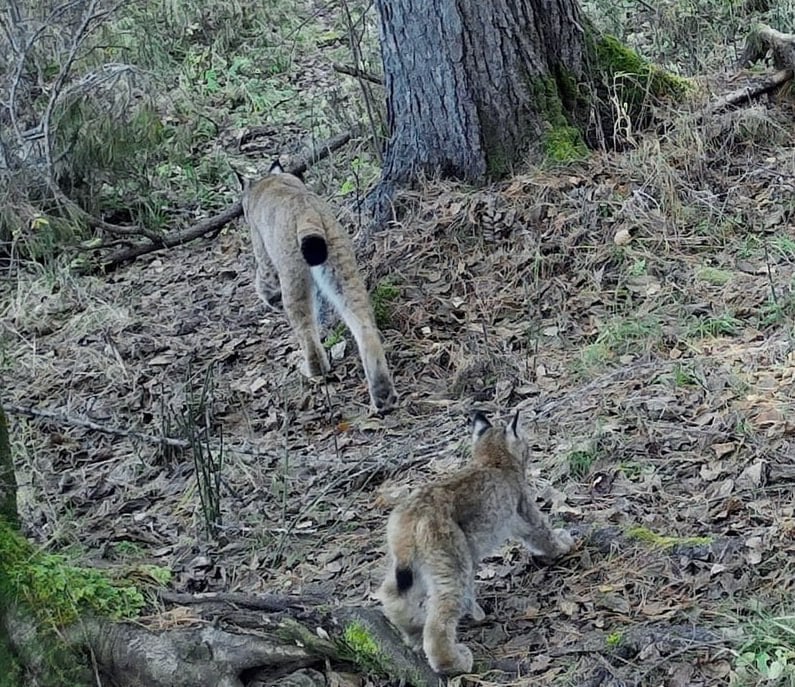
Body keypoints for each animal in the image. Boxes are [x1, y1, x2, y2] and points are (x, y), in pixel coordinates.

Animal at [376, 412, 576, 676]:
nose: (531, 451)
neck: (490, 458)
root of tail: (410, 514)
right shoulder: (523, 511)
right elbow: (543, 532)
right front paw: (563, 544)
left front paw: (475, 612)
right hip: (451, 561)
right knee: (438, 623)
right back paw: (454, 661)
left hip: (410, 565)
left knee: (391, 596)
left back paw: (413, 633)